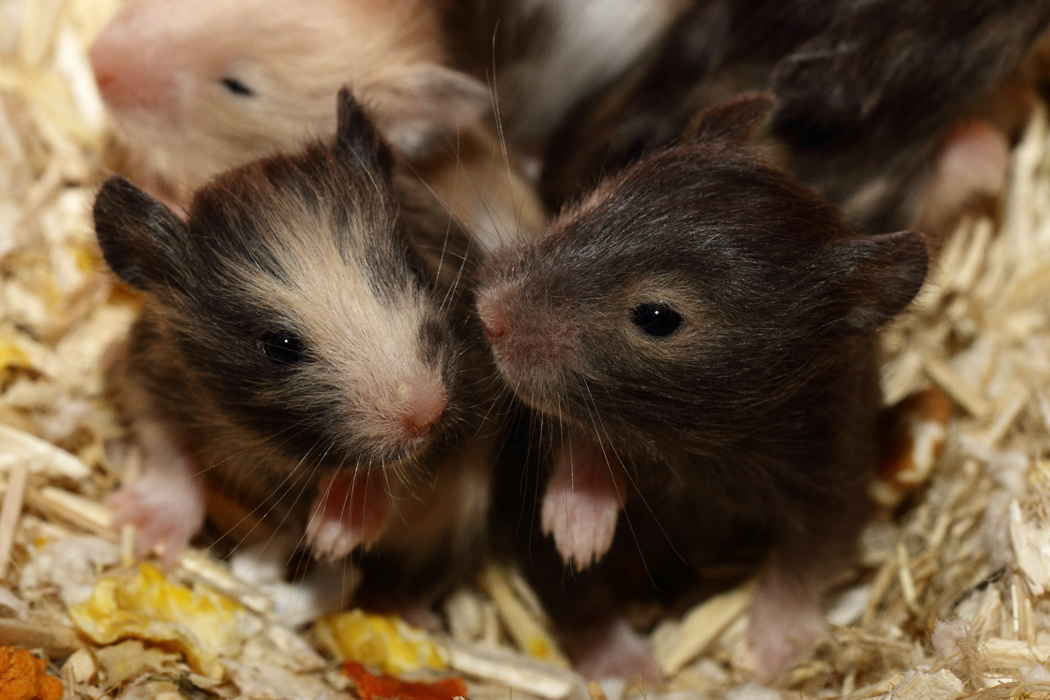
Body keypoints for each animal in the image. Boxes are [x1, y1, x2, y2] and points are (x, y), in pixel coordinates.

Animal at [92, 90, 497, 608]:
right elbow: (168, 452)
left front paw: (334, 534)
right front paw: (145, 534)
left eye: (417, 273)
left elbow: (402, 469)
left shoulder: (467, 401)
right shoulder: (151, 375)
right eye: (278, 347)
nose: (427, 414)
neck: (277, 444)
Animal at [476, 96, 928, 680]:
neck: (705, 446)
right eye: (590, 201)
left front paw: (775, 651)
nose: (487, 313)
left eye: (658, 317)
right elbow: (574, 438)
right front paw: (580, 516)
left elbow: (808, 560)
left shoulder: (834, 465)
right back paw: (626, 664)